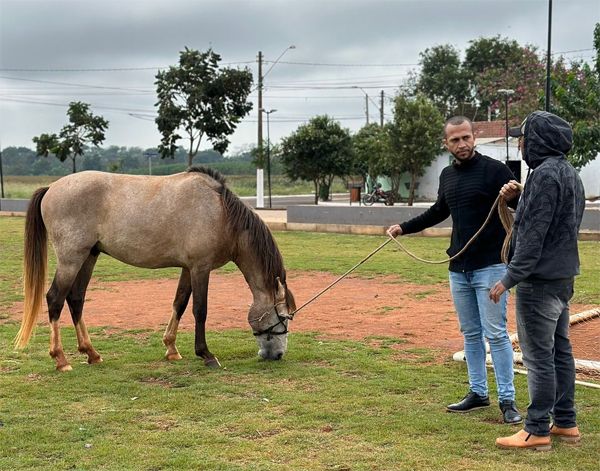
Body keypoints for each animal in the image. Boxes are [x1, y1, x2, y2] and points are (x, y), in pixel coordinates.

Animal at [13, 168, 296, 370]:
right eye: (284, 317)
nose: (277, 355)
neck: (221, 213)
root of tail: (52, 188)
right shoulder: (200, 268)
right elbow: (200, 310)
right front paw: (205, 354)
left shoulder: (188, 268)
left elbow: (180, 303)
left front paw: (171, 349)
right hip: (71, 259)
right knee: (55, 299)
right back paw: (61, 359)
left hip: (88, 257)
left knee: (76, 299)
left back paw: (91, 353)